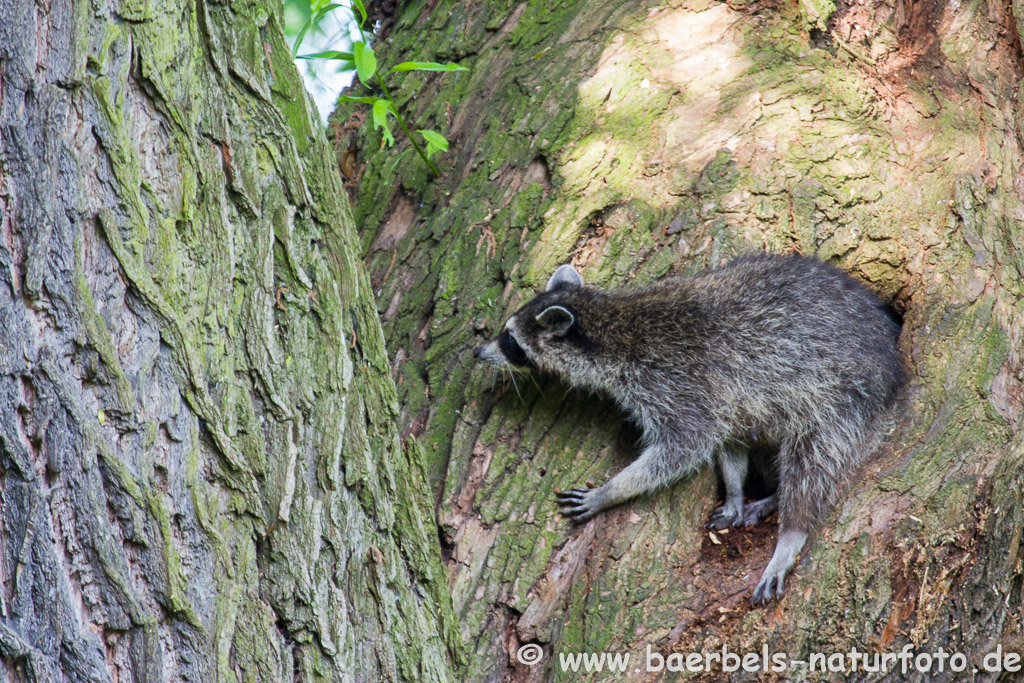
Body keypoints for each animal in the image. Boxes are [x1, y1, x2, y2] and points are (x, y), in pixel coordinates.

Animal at [471, 254, 905, 602]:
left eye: (510, 341)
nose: (477, 352)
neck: (612, 322)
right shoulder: (725, 394)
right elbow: (727, 438)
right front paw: (734, 490)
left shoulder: (674, 383)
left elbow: (684, 447)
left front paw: (612, 490)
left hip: (842, 393)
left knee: (813, 459)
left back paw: (790, 531)